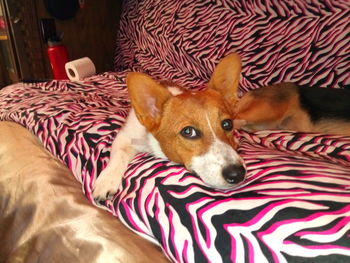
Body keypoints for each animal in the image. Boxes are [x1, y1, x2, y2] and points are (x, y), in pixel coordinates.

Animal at [93, 52, 350, 202]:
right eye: (188, 132)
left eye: (226, 124)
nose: (237, 174)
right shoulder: (126, 135)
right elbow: (118, 155)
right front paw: (106, 182)